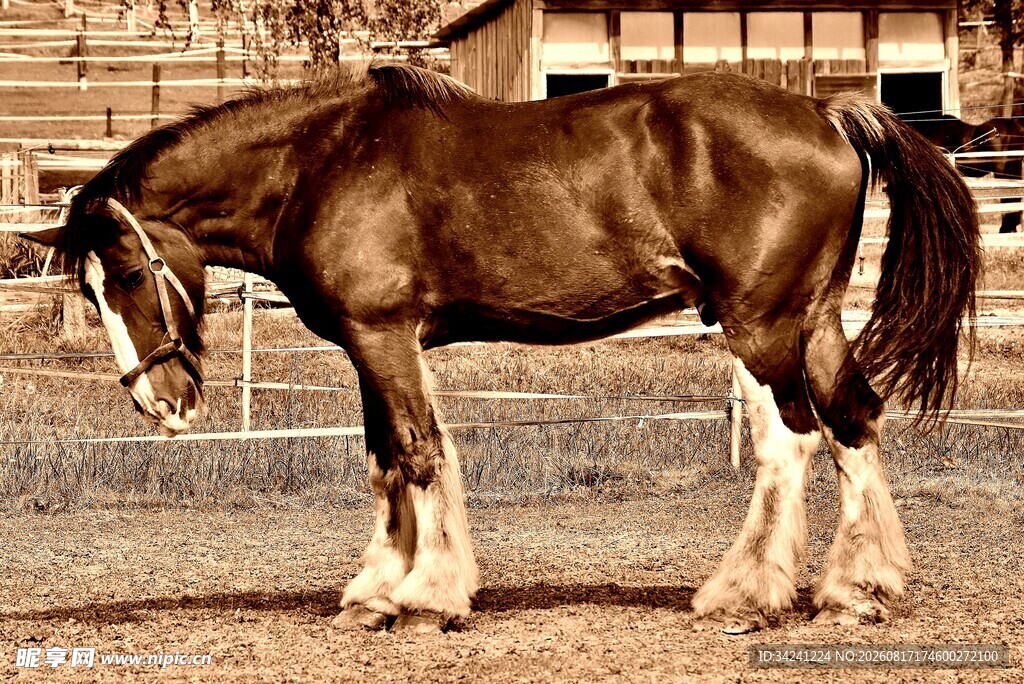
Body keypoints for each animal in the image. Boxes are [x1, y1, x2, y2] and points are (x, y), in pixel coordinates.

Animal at [23, 65, 980, 634]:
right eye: (89, 293)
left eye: (129, 275)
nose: (160, 404)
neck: (317, 165)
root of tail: (825, 110)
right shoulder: (371, 344)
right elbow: (385, 459)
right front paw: (378, 591)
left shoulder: (383, 336)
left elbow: (416, 452)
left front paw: (424, 599)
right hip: (812, 318)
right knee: (854, 420)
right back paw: (857, 589)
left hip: (761, 324)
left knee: (791, 440)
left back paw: (745, 595)